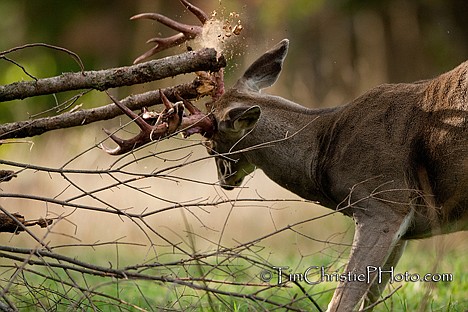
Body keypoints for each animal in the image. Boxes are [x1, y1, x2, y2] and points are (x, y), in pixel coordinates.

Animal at [99, 1, 468, 310]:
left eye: (209, 143)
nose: (224, 180)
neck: (324, 148)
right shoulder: (403, 228)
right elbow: (370, 300)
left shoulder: (383, 203)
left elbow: (342, 300)